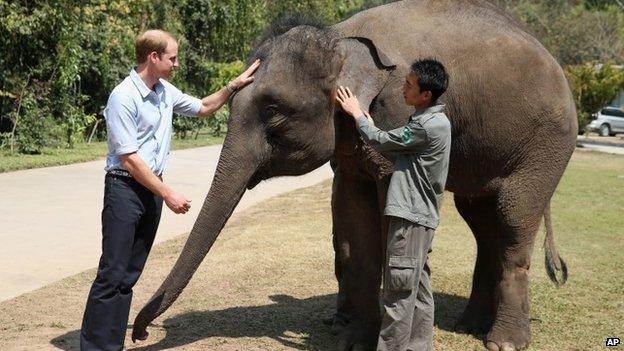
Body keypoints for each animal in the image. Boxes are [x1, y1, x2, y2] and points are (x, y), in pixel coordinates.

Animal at [130, 1, 576, 350]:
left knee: (514, 216)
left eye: (274, 110)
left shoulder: (395, 109)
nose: (140, 332)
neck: (342, 39)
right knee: (481, 219)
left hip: (547, 144)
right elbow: (353, 218)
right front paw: (351, 340)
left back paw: (504, 341)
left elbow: (386, 217)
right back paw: (468, 325)